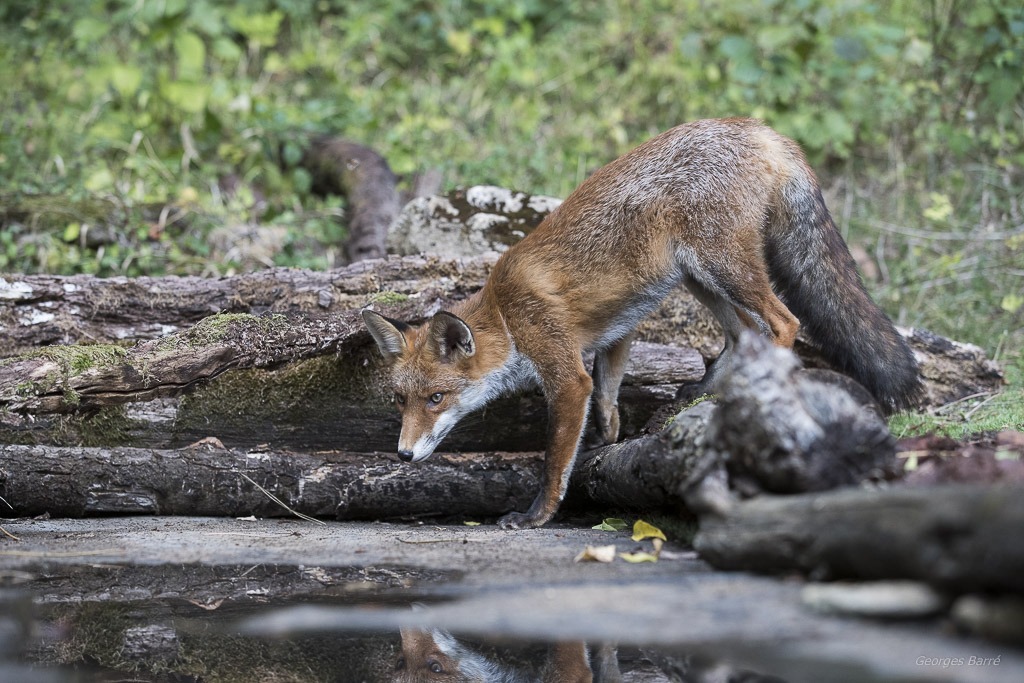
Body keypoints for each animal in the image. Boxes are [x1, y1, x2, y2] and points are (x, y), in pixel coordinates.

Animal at [362, 118, 921, 528]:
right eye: (401, 400)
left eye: (436, 398)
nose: (403, 456)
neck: (505, 314)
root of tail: (758, 128)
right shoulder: (616, 330)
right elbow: (608, 396)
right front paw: (608, 441)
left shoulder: (564, 371)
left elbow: (554, 458)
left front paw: (537, 515)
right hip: (700, 277)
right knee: (744, 332)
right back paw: (709, 392)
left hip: (722, 265)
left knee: (783, 323)